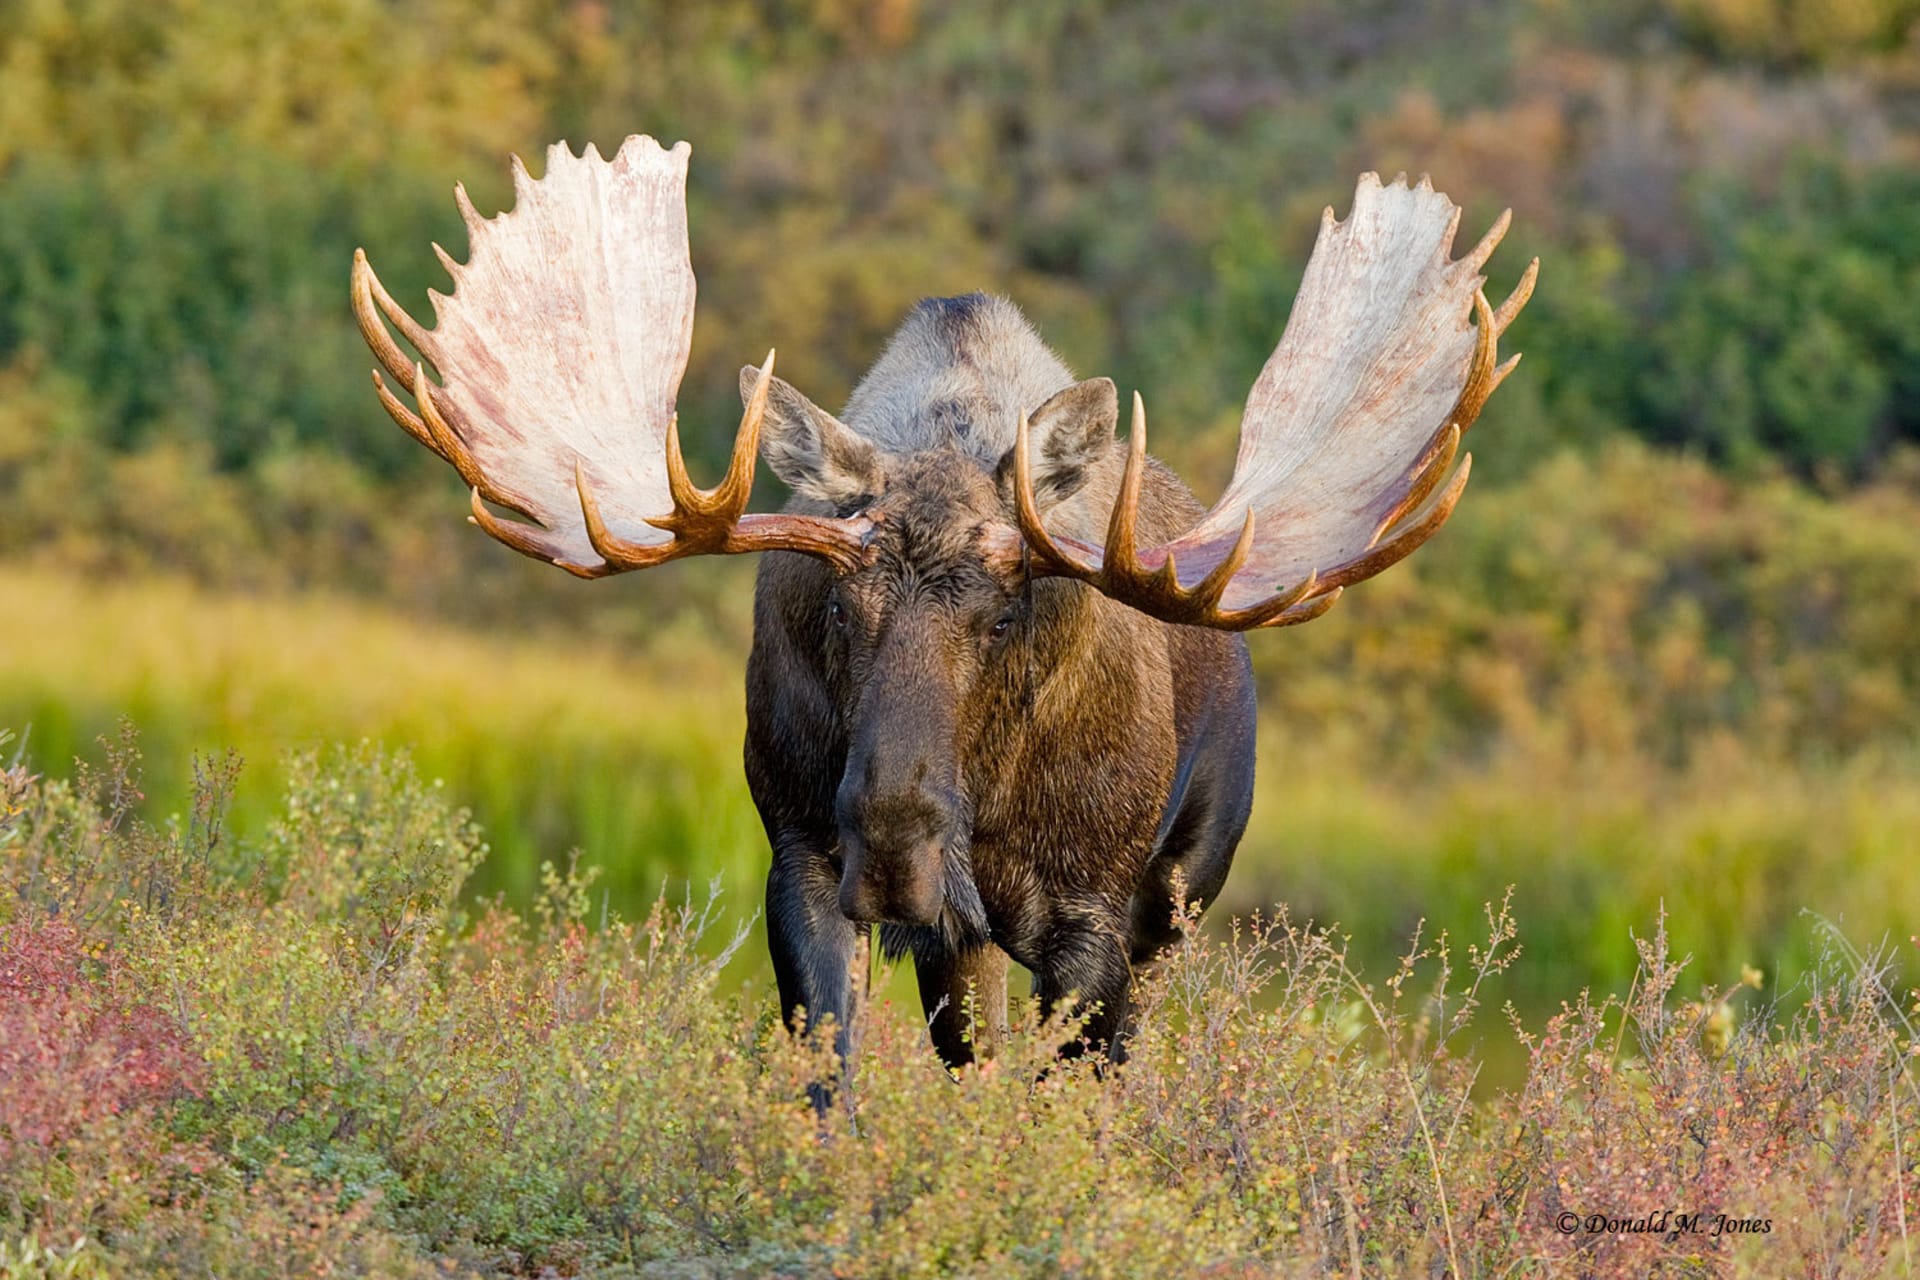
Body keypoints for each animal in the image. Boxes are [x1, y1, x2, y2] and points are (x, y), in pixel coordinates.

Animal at [351, 135, 1534, 1071]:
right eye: (837, 605)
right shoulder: (801, 856)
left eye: (1006, 614)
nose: (895, 842)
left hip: (1181, 891)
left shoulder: (1095, 917)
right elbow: (834, 1073)